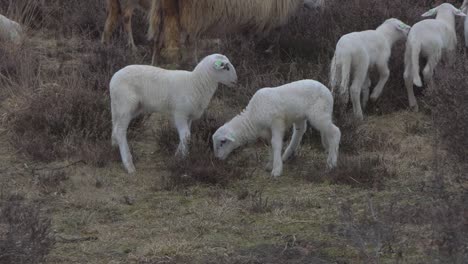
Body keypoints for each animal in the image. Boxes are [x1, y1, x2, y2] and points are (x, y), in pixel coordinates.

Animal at [109, 53, 238, 173]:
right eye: (226, 67)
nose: (236, 80)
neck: (195, 83)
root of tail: (113, 80)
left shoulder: (189, 116)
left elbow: (186, 135)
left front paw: (177, 157)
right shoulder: (180, 113)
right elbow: (186, 136)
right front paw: (184, 160)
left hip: (121, 107)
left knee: (115, 126)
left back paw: (114, 148)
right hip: (126, 105)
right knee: (120, 130)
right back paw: (128, 164)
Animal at [212, 80, 340, 177]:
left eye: (223, 142)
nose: (217, 159)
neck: (252, 116)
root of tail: (328, 91)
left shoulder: (277, 122)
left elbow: (276, 143)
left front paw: (277, 169)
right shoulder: (268, 130)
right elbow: (270, 144)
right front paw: (270, 164)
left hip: (319, 114)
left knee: (335, 132)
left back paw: (332, 162)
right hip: (300, 115)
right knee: (300, 131)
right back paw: (287, 154)